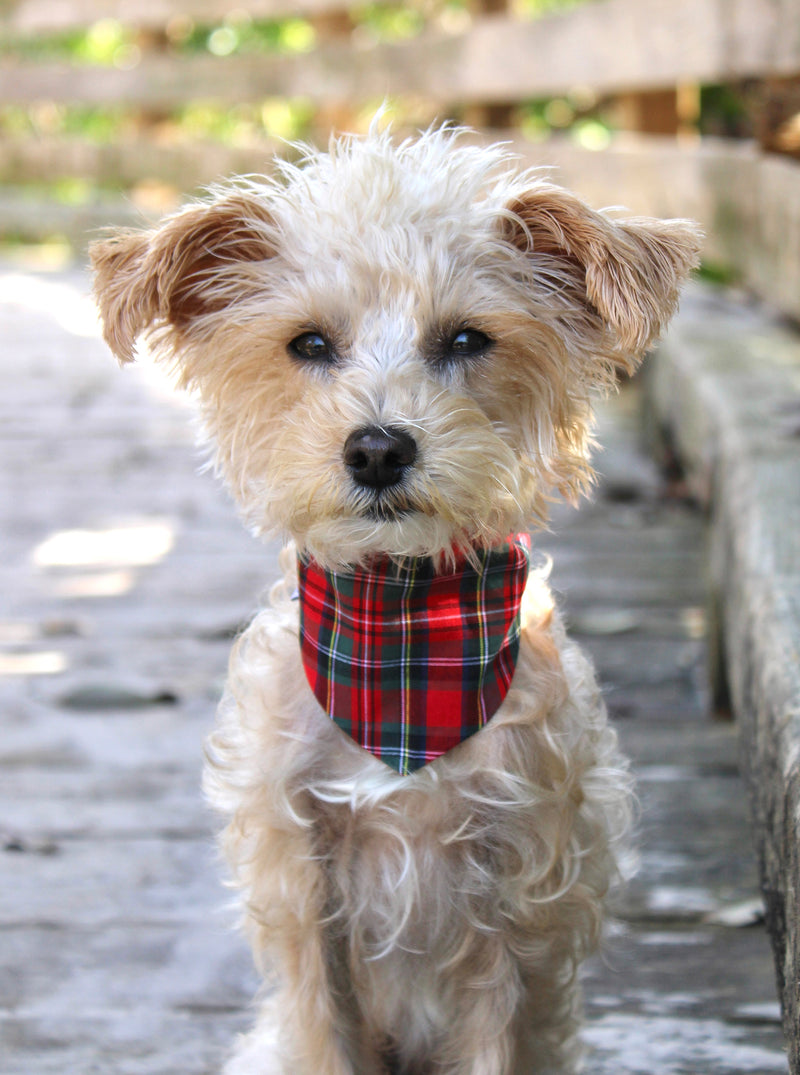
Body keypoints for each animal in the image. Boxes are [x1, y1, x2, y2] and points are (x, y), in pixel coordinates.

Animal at [89, 122, 701, 1070]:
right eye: (308, 344)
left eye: (467, 339)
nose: (378, 448)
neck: (404, 631)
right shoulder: (302, 887)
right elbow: (324, 1032)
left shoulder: (516, 893)